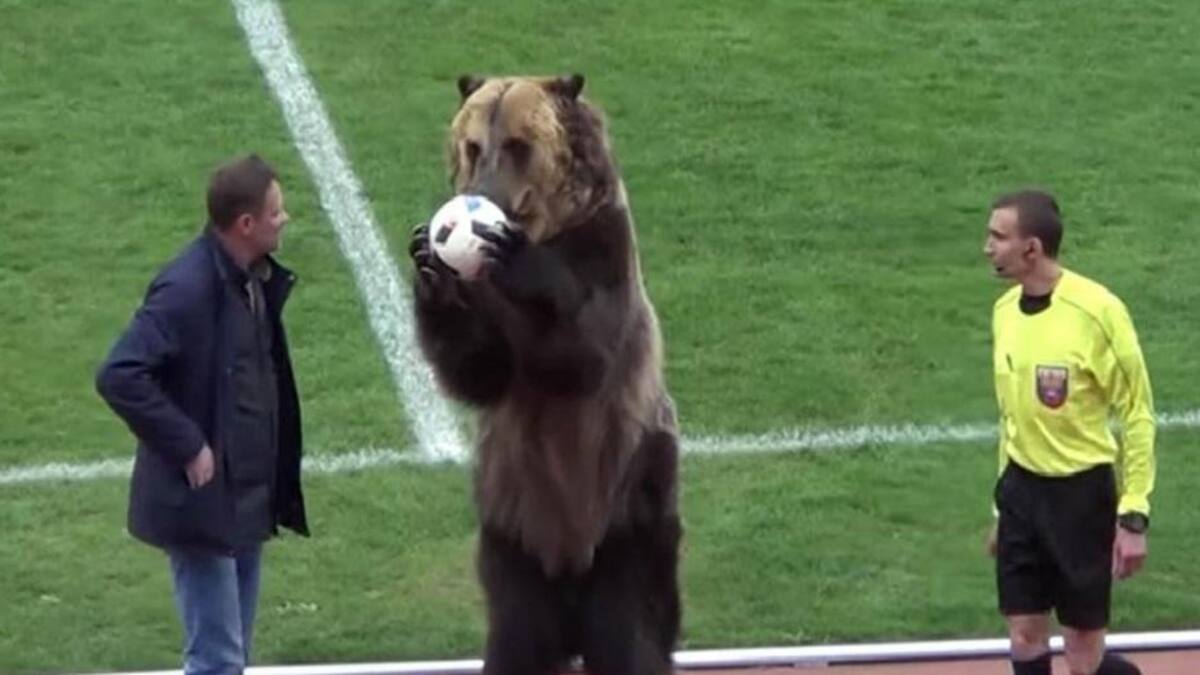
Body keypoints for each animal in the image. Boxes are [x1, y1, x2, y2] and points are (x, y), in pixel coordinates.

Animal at [408, 74, 682, 675]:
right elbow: (479, 370)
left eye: (518, 144)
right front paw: (429, 271)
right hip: (511, 529)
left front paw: (516, 257)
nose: (483, 196)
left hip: (629, 512)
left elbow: (581, 356)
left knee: (634, 632)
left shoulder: (604, 253)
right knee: (518, 638)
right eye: (473, 145)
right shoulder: (484, 313)